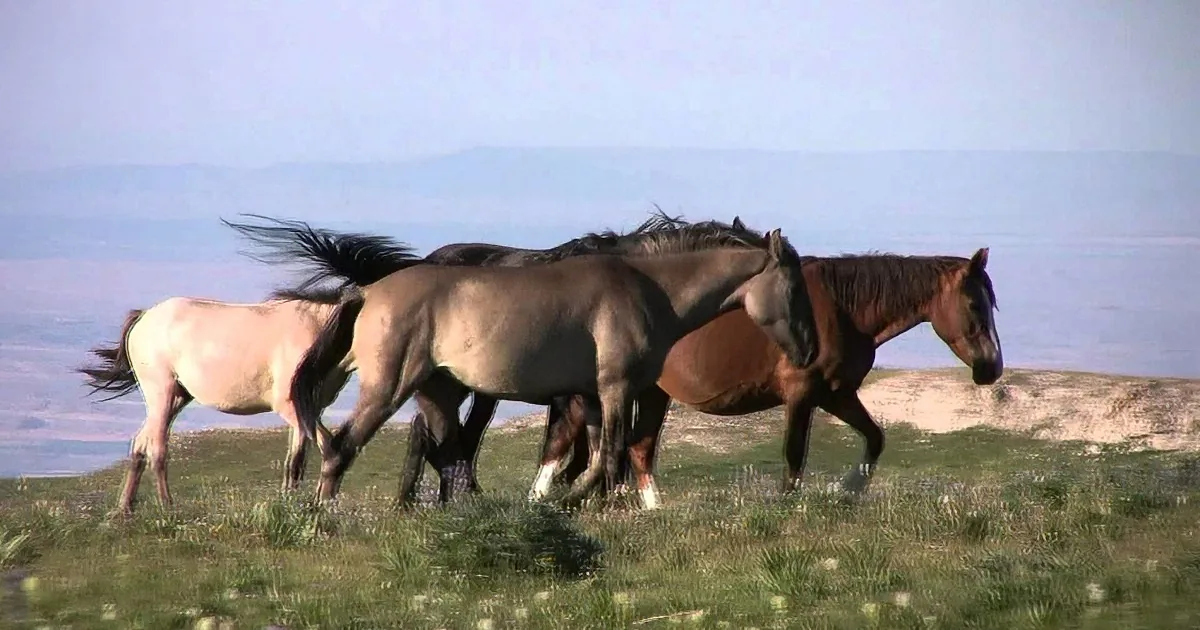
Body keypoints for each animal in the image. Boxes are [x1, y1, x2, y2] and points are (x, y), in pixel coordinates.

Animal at [77, 233, 427, 515]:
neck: (317, 328)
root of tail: (144, 317)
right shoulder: (292, 407)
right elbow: (326, 447)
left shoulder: (308, 411)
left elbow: (294, 462)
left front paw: (291, 504)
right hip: (161, 393)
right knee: (157, 449)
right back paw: (167, 507)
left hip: (176, 396)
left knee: (139, 444)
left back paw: (125, 510)